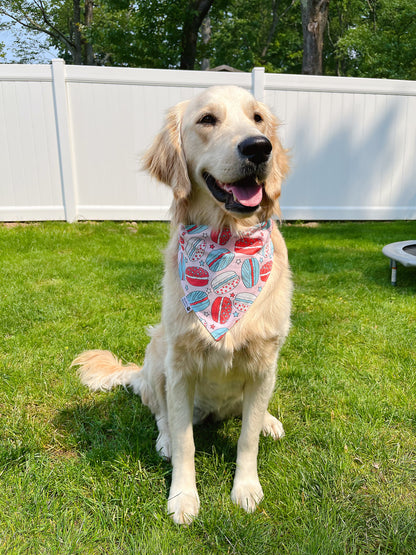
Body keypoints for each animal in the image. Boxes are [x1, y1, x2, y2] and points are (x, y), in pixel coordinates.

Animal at [72, 86, 292, 524]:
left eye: (258, 118)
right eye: (207, 119)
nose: (259, 147)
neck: (228, 242)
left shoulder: (264, 363)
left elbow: (247, 439)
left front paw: (246, 487)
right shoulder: (181, 367)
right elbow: (186, 440)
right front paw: (183, 496)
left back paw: (269, 421)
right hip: (158, 353)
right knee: (161, 414)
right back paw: (165, 441)